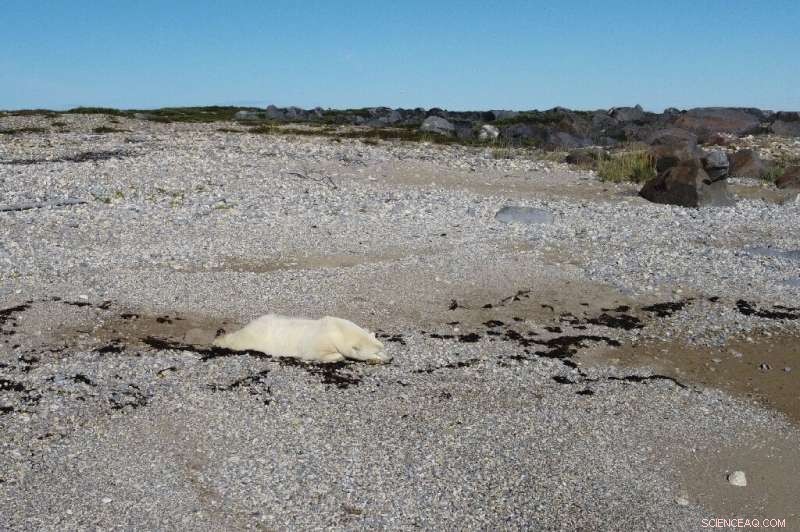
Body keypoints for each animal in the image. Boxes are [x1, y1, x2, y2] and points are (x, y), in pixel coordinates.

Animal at [212, 314, 391, 364]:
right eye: (376, 352)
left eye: (383, 348)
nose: (390, 358)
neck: (338, 330)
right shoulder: (319, 342)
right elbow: (317, 353)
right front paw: (339, 356)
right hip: (256, 337)